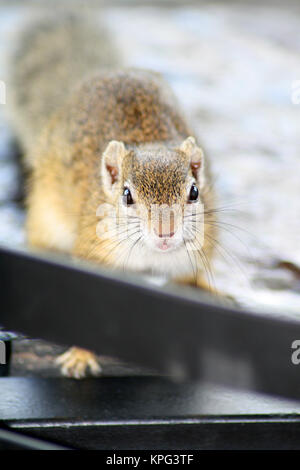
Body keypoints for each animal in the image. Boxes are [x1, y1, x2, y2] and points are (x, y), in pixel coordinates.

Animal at [8, 11, 217, 378]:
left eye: (194, 191)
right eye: (127, 196)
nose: (165, 232)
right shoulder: (94, 257)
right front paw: (80, 356)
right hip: (47, 218)